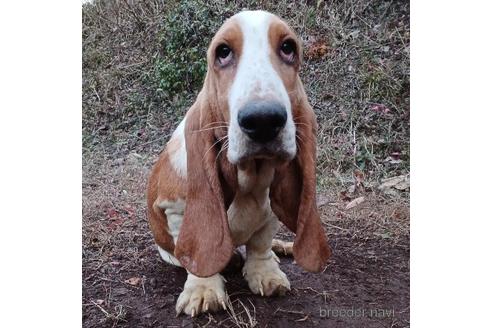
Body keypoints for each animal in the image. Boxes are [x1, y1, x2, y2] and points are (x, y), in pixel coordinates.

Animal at [146, 10, 330, 316]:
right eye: (223, 52)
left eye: (288, 47)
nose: (263, 120)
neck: (251, 175)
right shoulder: (175, 209)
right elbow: (196, 252)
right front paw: (203, 289)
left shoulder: (270, 212)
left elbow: (260, 244)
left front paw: (266, 273)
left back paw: (281, 248)